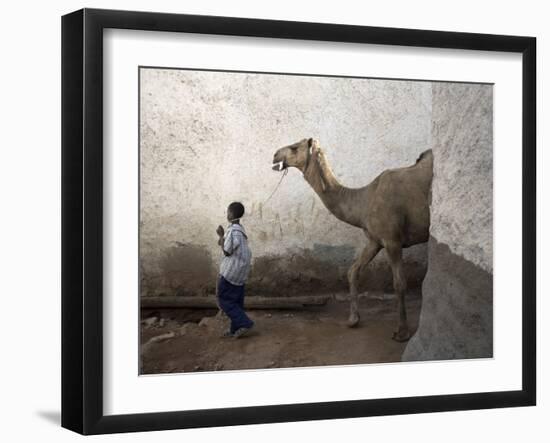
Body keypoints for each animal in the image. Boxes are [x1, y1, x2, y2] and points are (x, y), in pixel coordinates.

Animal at [274, 139, 434, 344]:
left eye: (295, 147)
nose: (275, 155)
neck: (364, 199)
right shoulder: (375, 240)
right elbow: (353, 271)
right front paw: (353, 319)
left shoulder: (392, 240)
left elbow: (399, 283)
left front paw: (401, 332)